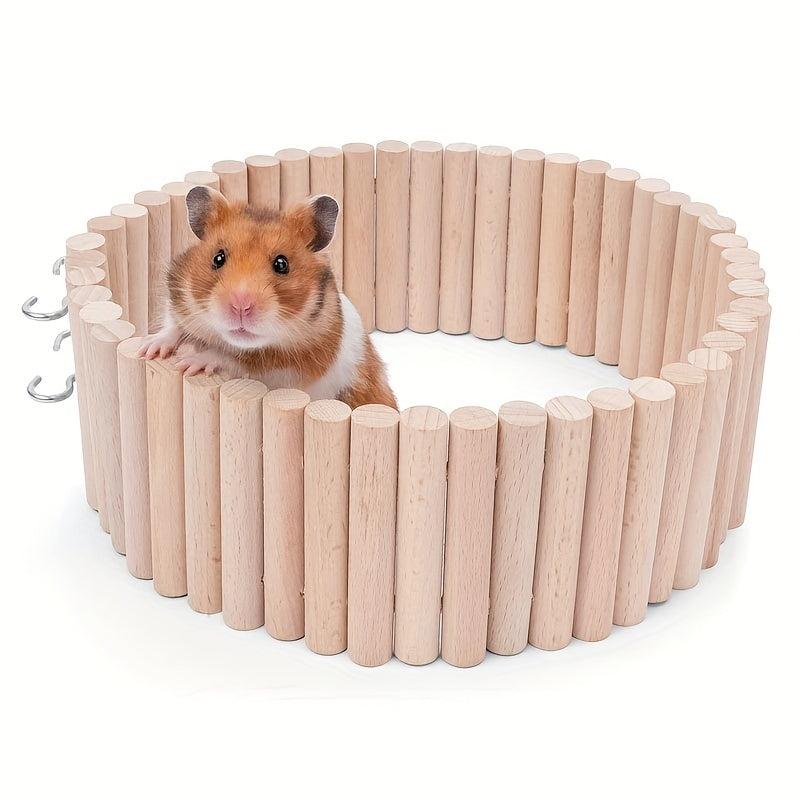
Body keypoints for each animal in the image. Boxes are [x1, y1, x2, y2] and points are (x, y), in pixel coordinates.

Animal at [139, 186, 396, 410]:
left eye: (282, 264)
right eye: (218, 258)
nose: (240, 306)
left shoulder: (289, 369)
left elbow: (236, 360)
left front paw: (191, 364)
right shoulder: (180, 297)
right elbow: (172, 325)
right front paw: (149, 349)